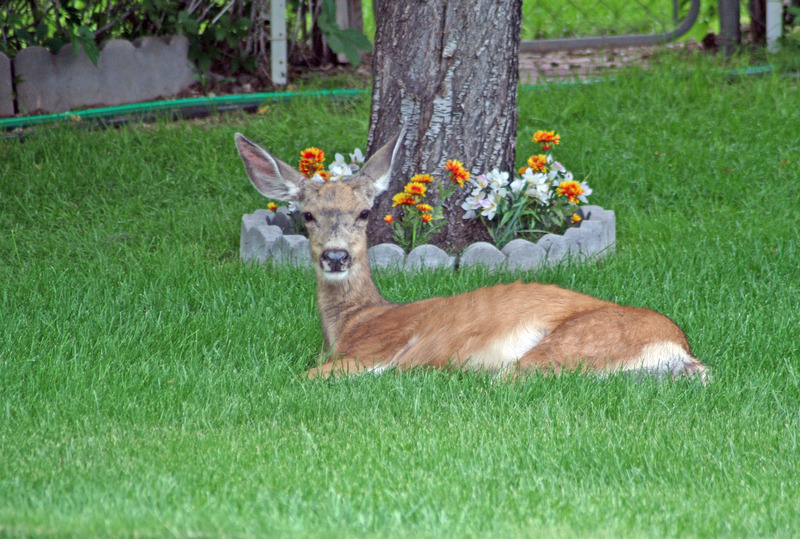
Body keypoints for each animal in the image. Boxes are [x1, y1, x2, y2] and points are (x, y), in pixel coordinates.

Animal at [235, 132, 708, 382]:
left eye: (364, 212)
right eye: (308, 214)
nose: (335, 256)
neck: (353, 323)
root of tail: (679, 348)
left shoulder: (372, 352)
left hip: (568, 345)